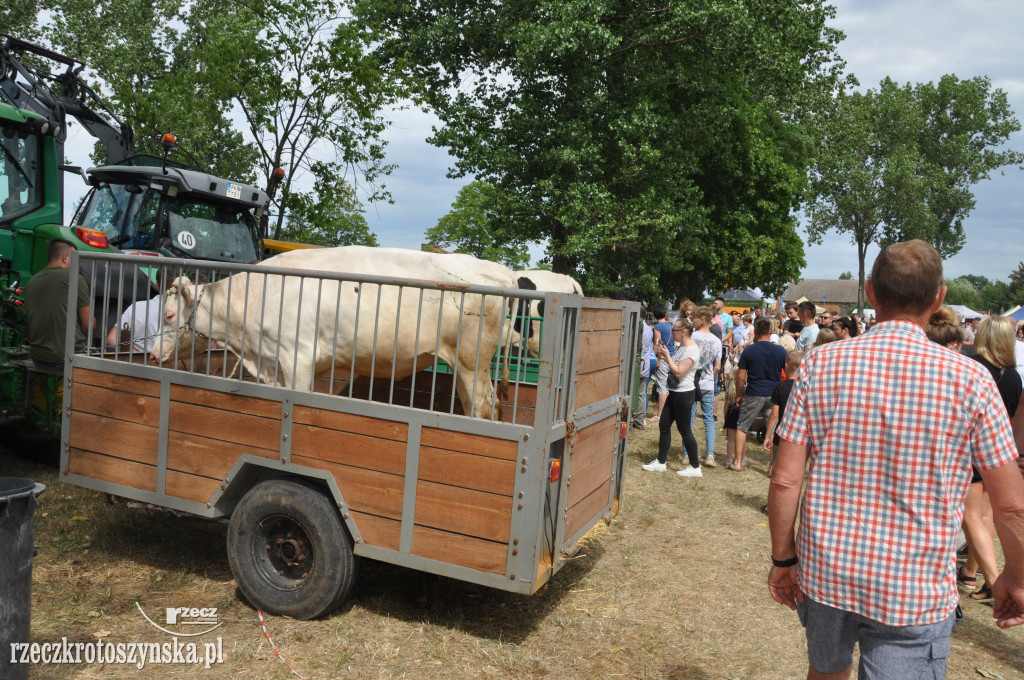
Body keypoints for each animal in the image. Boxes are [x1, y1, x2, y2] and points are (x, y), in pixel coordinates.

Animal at [153, 248, 536, 419]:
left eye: (169, 315)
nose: (154, 353)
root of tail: (499, 270)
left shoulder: (297, 358)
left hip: (472, 363)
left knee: (484, 405)